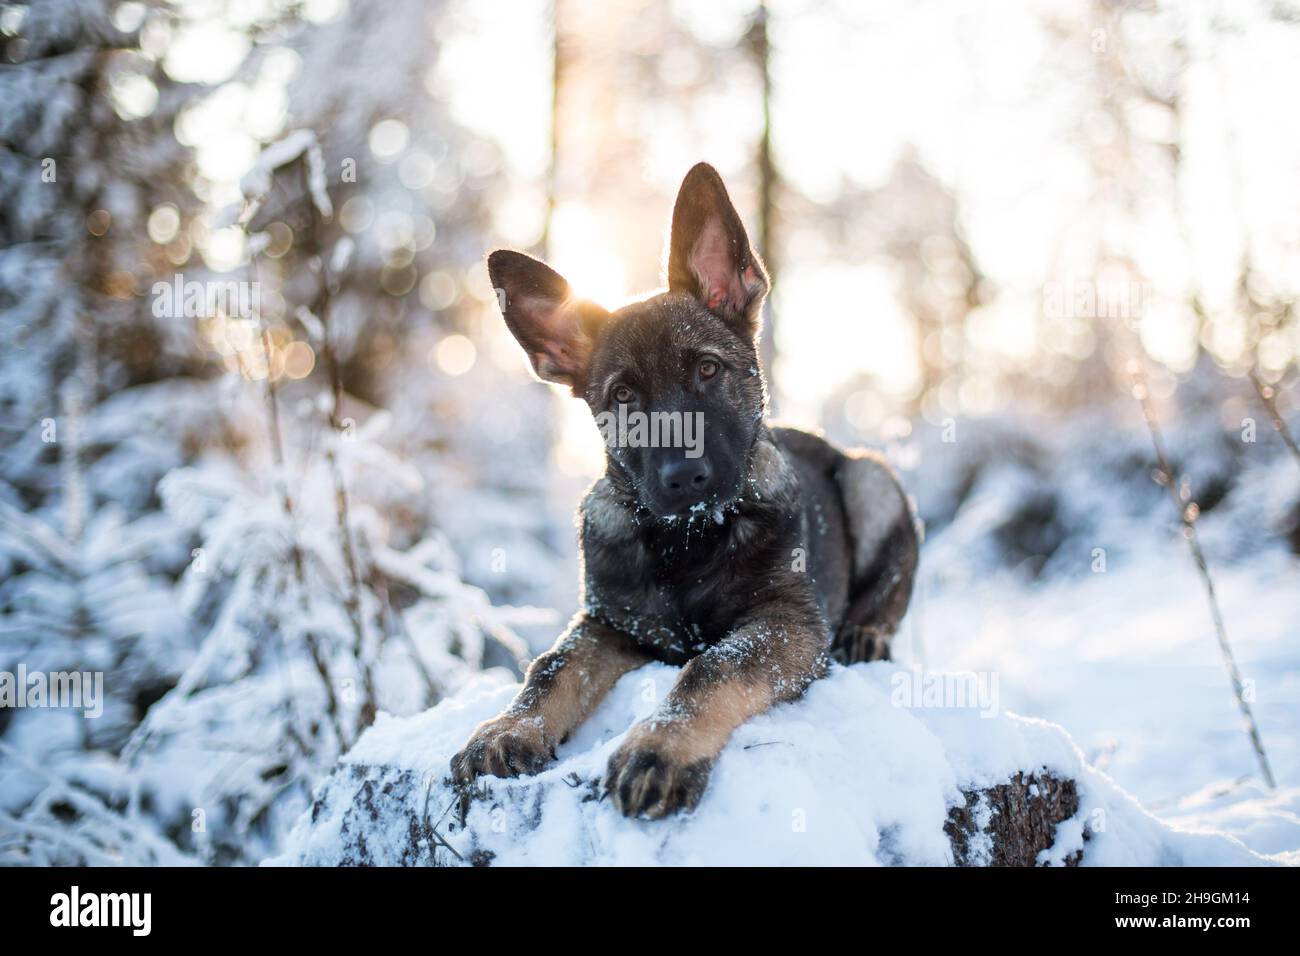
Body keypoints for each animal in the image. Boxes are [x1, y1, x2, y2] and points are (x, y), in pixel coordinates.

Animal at [452, 160, 920, 816]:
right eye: (624, 396)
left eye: (707, 369)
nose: (684, 477)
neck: (686, 537)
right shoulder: (609, 622)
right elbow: (550, 667)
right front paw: (507, 728)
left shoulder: (787, 622)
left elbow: (712, 669)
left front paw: (660, 748)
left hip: (872, 478)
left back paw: (867, 633)